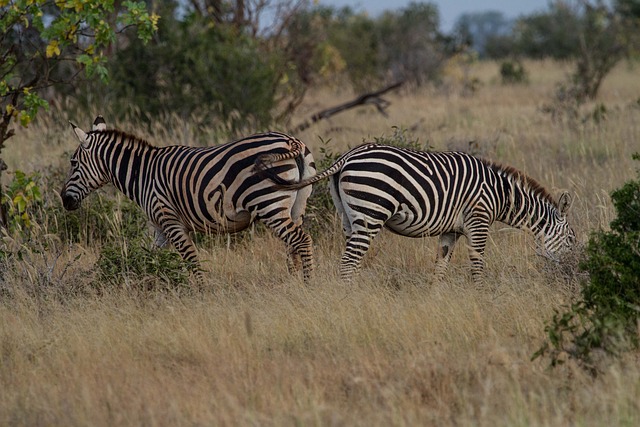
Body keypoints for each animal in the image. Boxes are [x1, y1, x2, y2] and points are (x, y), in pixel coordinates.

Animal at [61, 116, 316, 280]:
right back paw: (294, 284)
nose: (64, 200)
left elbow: (191, 260)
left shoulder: (171, 221)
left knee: (302, 240)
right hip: (297, 204)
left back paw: (308, 285)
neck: (142, 173)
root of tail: (291, 141)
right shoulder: (160, 228)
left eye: (73, 163)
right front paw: (142, 282)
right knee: (293, 246)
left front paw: (202, 294)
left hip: (268, 202)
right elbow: (149, 258)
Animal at [254, 144, 576, 284]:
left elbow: (440, 266)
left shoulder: (451, 230)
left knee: (350, 259)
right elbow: (478, 264)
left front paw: (436, 299)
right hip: (371, 213)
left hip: (348, 216)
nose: (572, 272)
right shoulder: (478, 221)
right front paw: (483, 295)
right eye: (572, 240)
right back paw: (348, 302)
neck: (500, 194)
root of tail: (347, 156)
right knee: (348, 263)